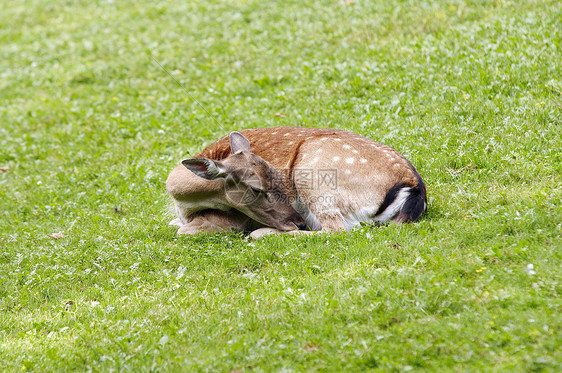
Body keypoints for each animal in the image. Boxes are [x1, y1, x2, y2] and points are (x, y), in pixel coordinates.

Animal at [165, 126, 424, 237]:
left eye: (280, 179)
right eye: (255, 188)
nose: (298, 222)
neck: (183, 205)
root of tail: (413, 185)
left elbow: (184, 231)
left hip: (315, 173)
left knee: (335, 230)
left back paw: (262, 233)